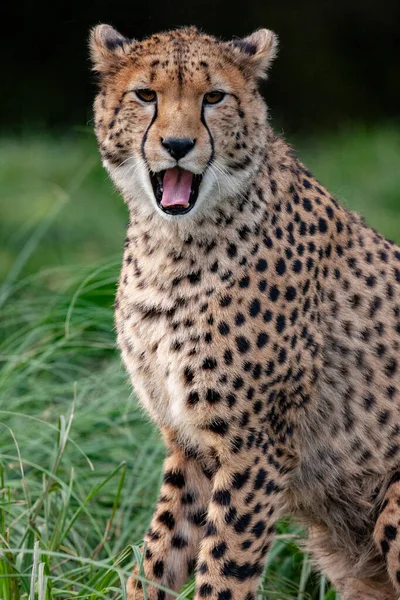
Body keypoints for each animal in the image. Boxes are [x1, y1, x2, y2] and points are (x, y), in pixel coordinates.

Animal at [90, 23, 400, 600]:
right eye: (146, 95)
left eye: (214, 98)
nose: (178, 146)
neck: (172, 247)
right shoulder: (189, 445)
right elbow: (158, 557)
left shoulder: (255, 446)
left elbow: (223, 568)